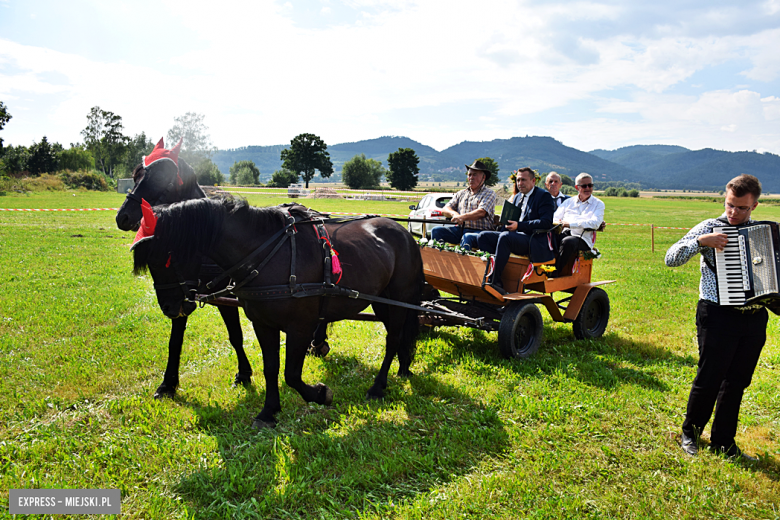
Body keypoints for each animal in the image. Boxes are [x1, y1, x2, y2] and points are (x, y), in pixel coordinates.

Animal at [114, 139, 250, 398]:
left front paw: (244, 374)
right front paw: (168, 383)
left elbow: (236, 336)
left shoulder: (225, 299)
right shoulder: (179, 298)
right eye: (136, 177)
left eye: (159, 177)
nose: (122, 217)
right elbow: (174, 341)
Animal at [135, 197, 426, 428]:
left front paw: (320, 394)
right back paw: (401, 369)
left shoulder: (301, 327)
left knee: (392, 341)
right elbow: (271, 368)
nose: (170, 308)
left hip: (397, 300)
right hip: (383, 301)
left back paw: (378, 386)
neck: (269, 254)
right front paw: (269, 411)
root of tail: (404, 233)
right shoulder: (263, 324)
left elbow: (292, 374)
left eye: (167, 257)